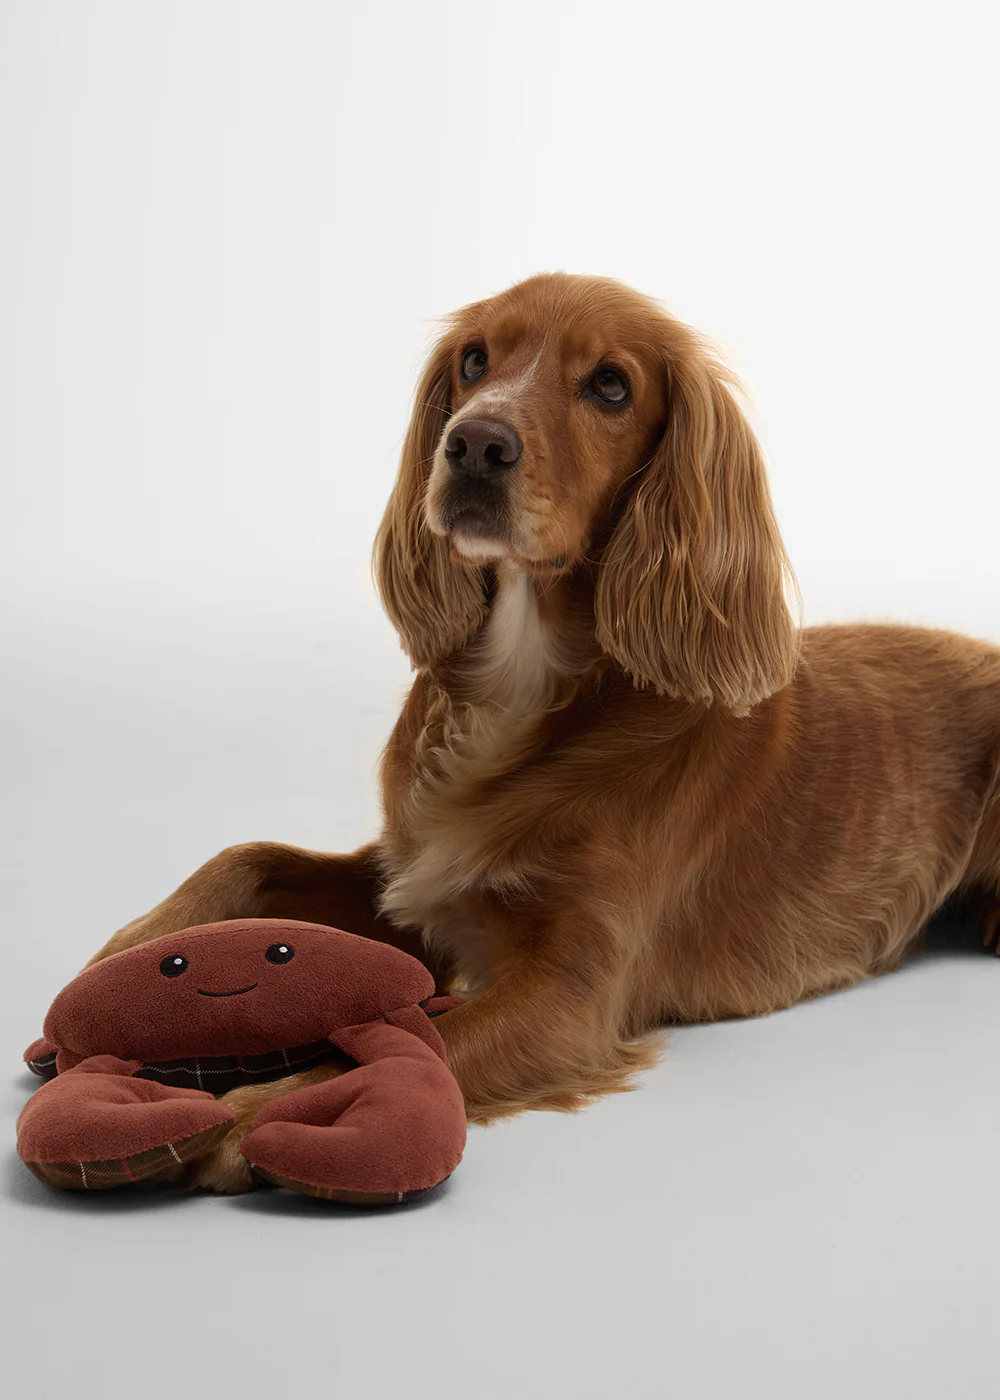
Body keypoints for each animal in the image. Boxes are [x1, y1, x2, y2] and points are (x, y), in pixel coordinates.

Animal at [88, 273, 1000, 1192]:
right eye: (474, 360)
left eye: (611, 385)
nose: (473, 444)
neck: (524, 686)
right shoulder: (410, 875)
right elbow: (249, 855)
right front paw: (126, 952)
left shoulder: (571, 992)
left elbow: (414, 1042)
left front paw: (258, 1112)